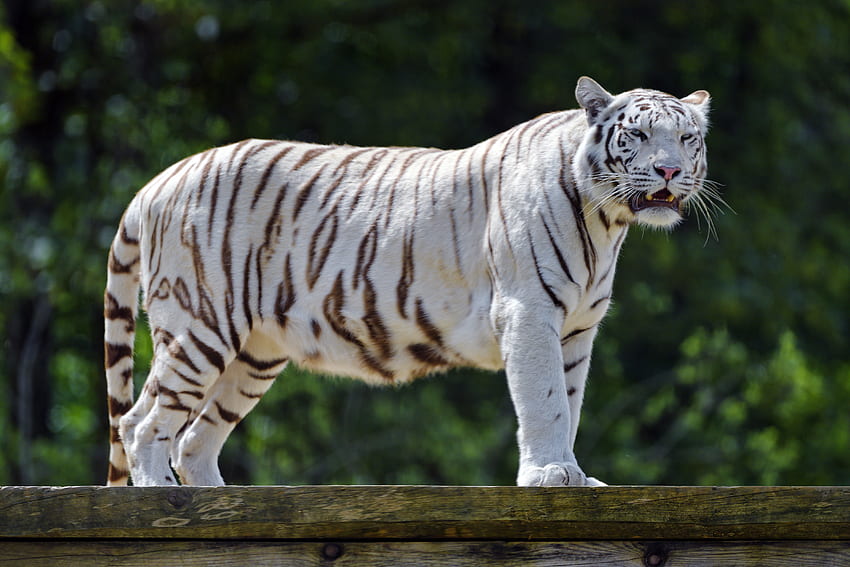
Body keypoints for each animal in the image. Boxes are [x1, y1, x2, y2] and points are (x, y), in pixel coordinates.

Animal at [102, 77, 708, 488]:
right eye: (637, 134)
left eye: (686, 138)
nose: (669, 171)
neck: (606, 221)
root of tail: (158, 181)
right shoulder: (530, 312)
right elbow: (546, 400)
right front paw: (551, 474)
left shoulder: (577, 328)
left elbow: (571, 400)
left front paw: (573, 476)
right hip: (200, 325)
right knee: (141, 423)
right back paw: (162, 502)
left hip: (255, 351)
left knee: (194, 439)